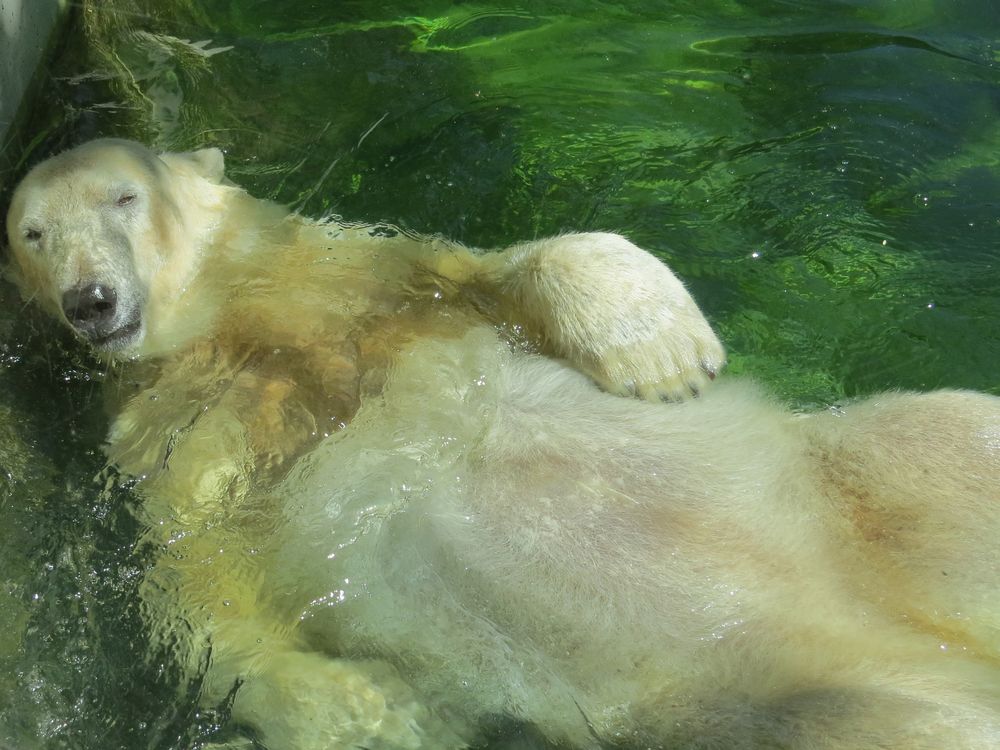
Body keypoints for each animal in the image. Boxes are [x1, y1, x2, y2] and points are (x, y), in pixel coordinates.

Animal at [5, 138, 1000, 748]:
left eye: (125, 195)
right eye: (33, 232)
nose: (90, 300)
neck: (239, 323)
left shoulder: (378, 280)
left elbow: (511, 267)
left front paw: (662, 352)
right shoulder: (165, 443)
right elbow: (193, 591)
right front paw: (374, 713)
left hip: (834, 493)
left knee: (945, 454)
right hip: (763, 701)